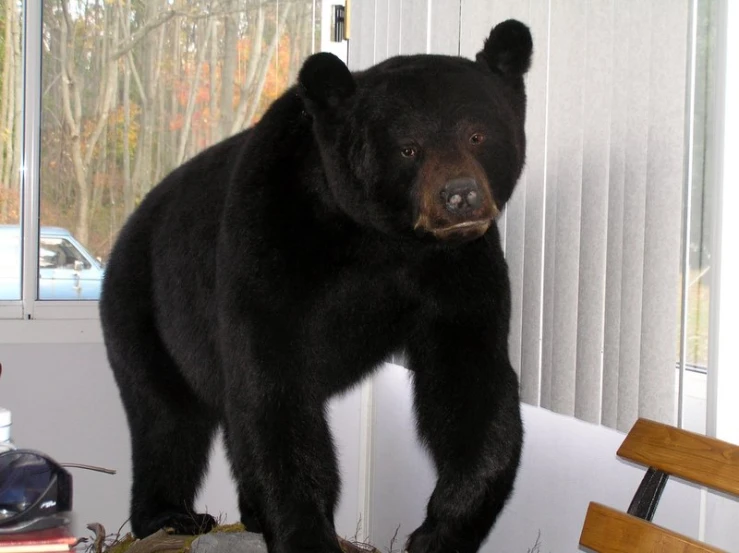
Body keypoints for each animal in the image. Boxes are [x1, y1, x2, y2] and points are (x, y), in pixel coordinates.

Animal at [99, 18, 532, 552]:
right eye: (408, 148)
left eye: (477, 134)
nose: (460, 196)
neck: (376, 237)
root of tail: (129, 225)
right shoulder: (271, 238)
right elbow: (273, 386)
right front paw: (306, 531)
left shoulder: (456, 270)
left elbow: (471, 380)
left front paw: (441, 530)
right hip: (143, 307)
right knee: (166, 417)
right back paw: (169, 515)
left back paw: (247, 512)